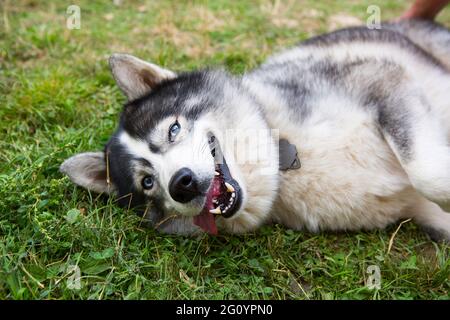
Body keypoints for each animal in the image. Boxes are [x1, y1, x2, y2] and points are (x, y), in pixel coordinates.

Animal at [59, 20, 450, 240]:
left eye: (173, 129)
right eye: (147, 182)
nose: (181, 184)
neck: (282, 163)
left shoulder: (382, 78)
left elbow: (429, 175)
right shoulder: (419, 209)